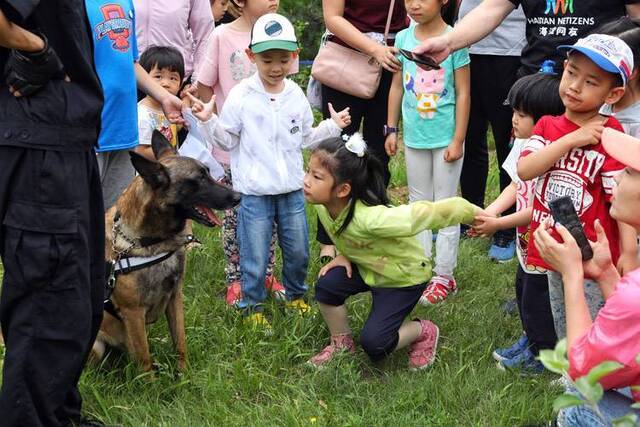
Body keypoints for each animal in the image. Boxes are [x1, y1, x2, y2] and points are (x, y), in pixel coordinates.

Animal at [90, 132, 240, 372]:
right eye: (198, 179)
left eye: (207, 173)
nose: (238, 197)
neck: (150, 242)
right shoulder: (133, 313)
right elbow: (144, 360)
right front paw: (150, 379)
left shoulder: (175, 297)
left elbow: (180, 342)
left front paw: (183, 374)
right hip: (97, 347)